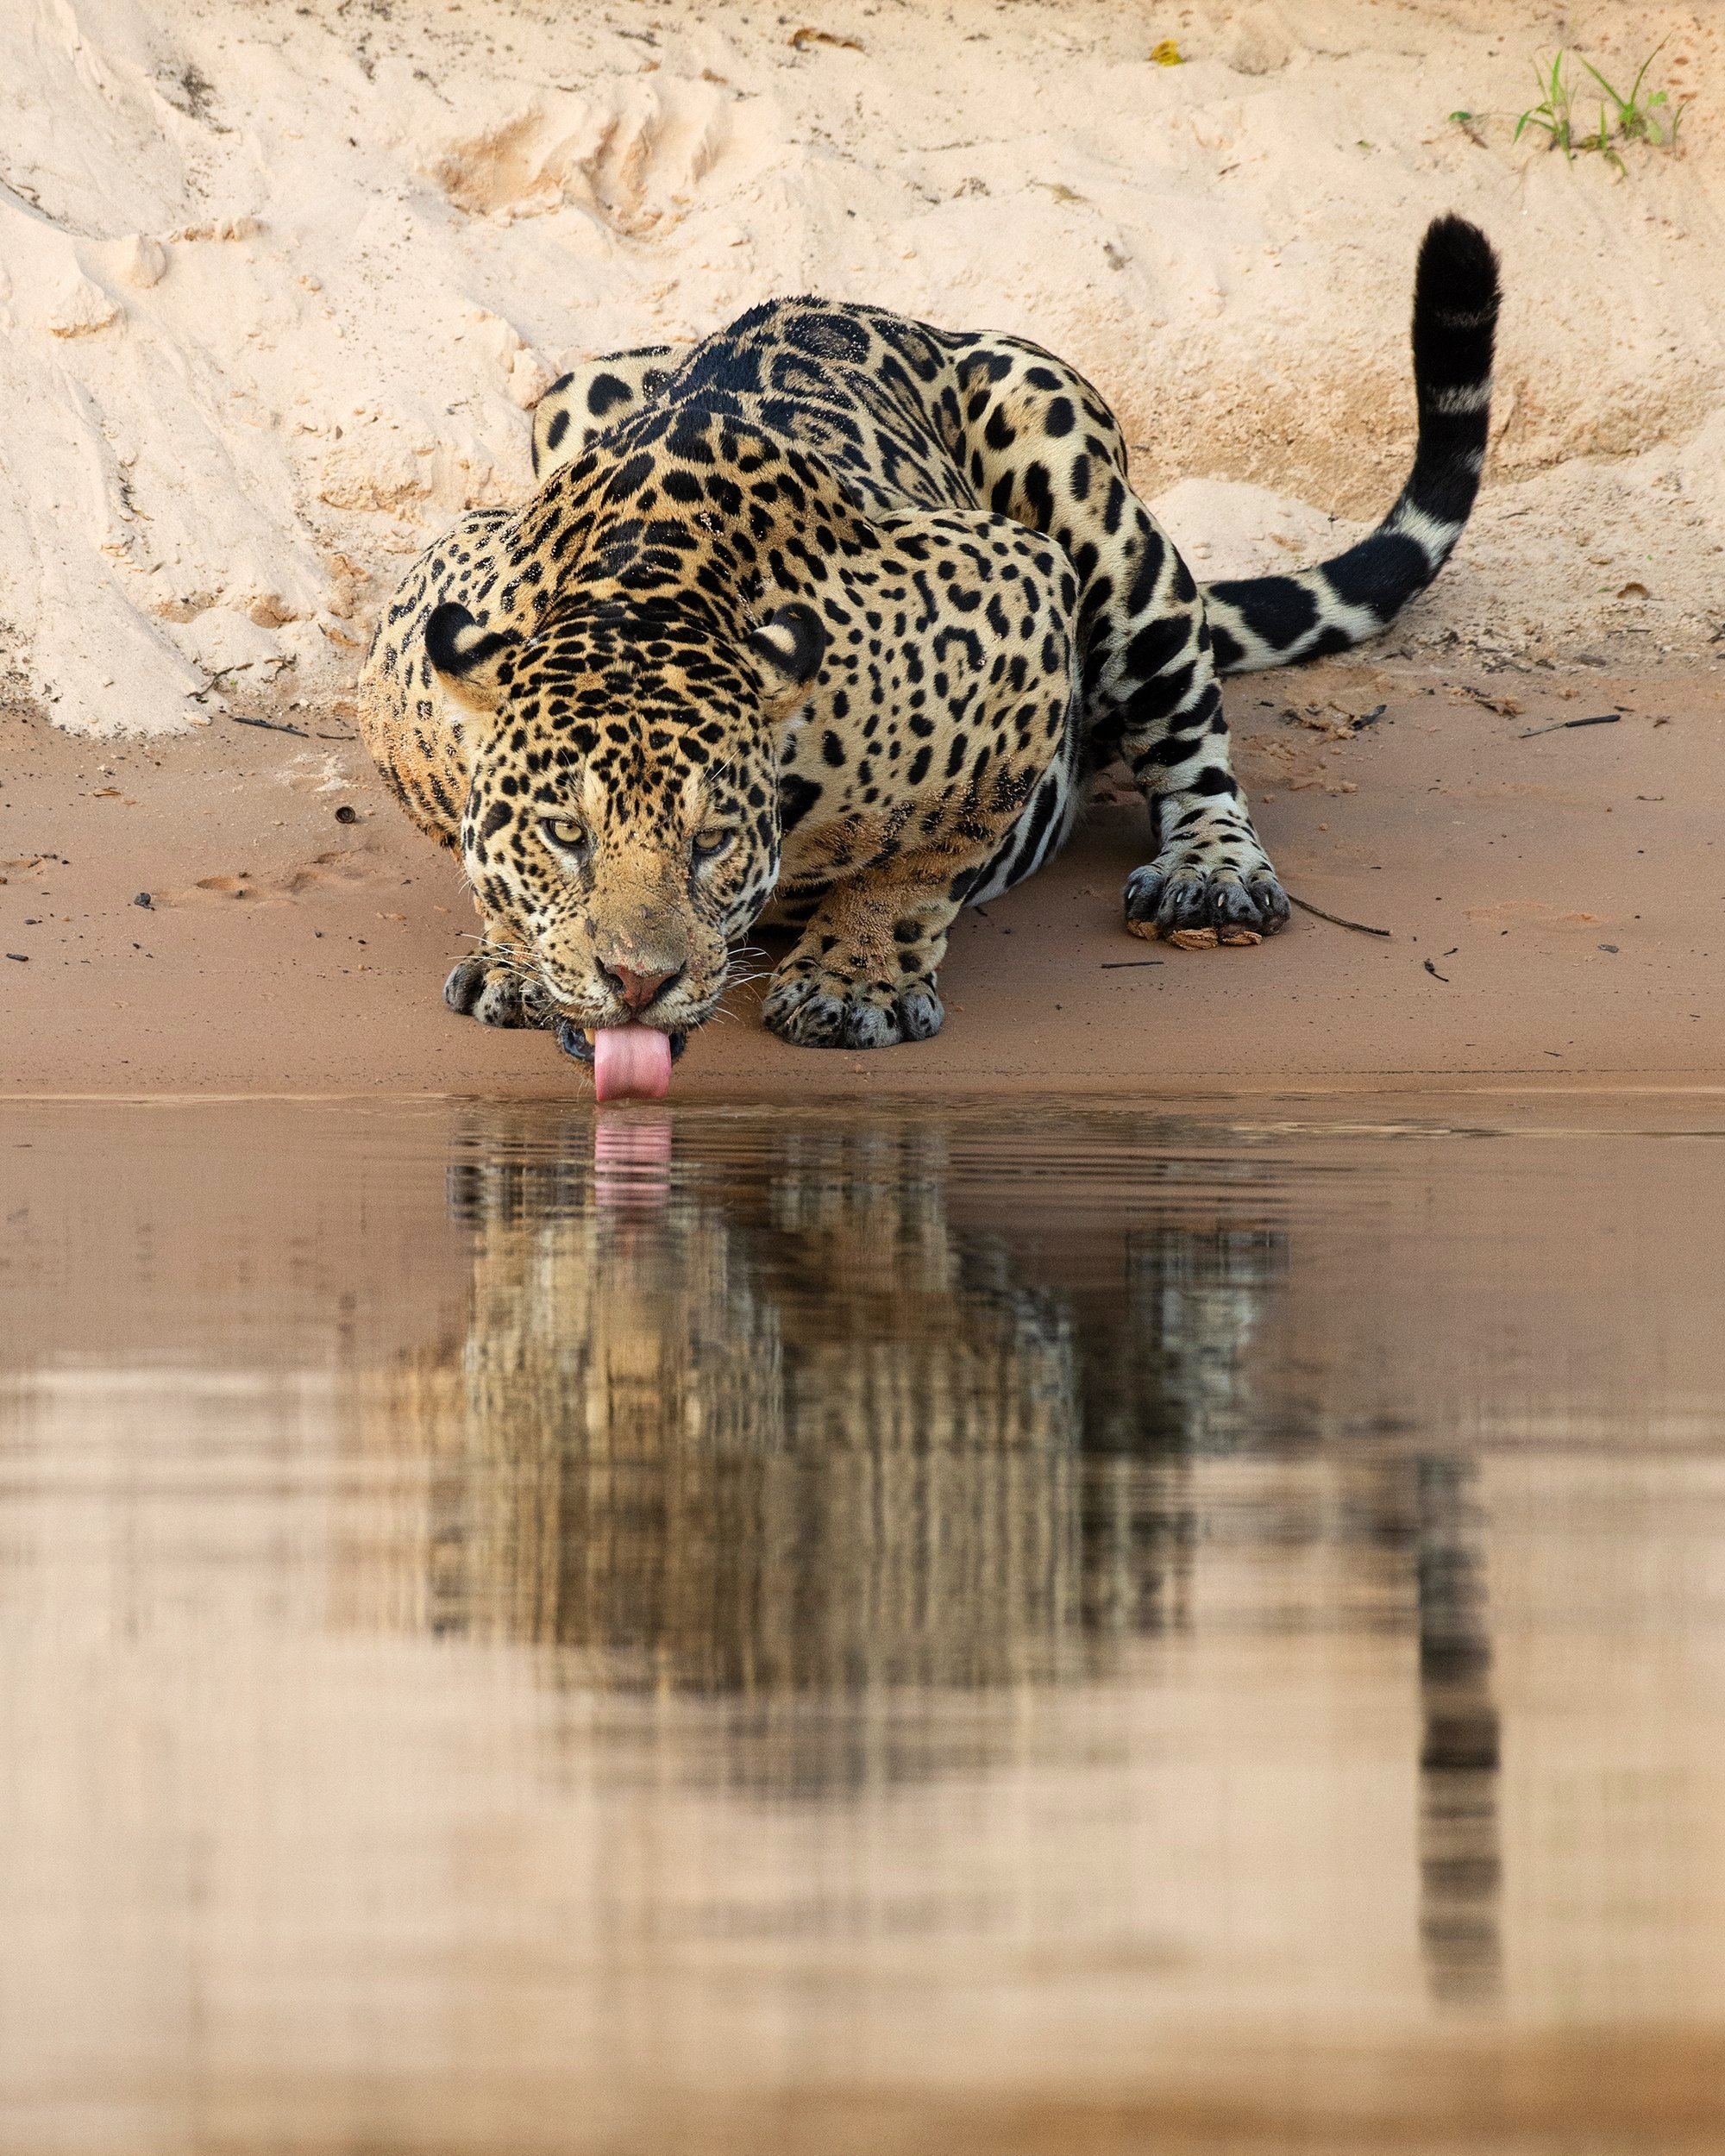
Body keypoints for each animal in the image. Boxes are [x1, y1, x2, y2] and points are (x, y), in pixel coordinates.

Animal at [357, 214, 1499, 1063]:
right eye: (565, 833)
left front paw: (854, 978)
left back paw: (1209, 875)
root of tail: (890, 316)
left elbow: (926, 856)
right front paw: (519, 957)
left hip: (1079, 480)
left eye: (711, 841)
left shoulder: (1014, 601)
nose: (639, 981)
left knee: (1190, 735)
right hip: (585, 382)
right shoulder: (412, 644)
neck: (651, 582)